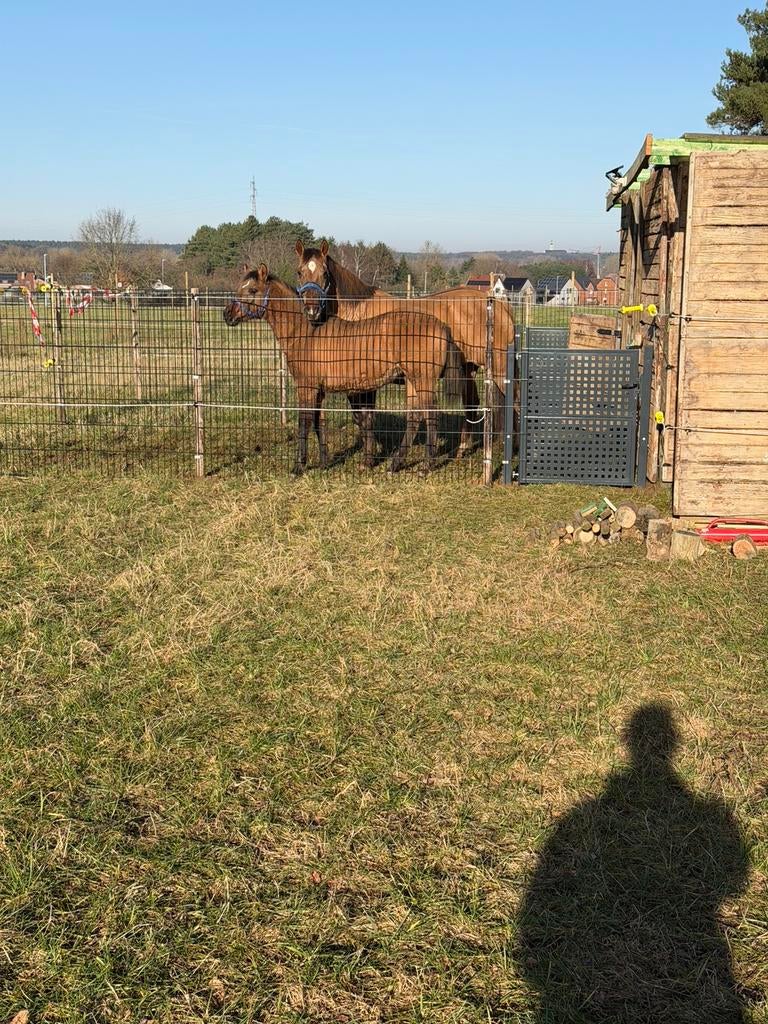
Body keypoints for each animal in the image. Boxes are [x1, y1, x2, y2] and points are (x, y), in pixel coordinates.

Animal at [223, 264, 463, 474]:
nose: (227, 314)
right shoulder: (319, 391)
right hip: (412, 381)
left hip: (423, 380)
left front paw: (298, 466)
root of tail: (442, 326)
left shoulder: (306, 387)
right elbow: (318, 422)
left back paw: (426, 466)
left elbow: (304, 423)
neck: (306, 333)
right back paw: (395, 465)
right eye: (239, 287)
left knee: (430, 416)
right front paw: (324, 463)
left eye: (252, 290)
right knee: (415, 417)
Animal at [295, 239, 514, 447]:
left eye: (324, 273)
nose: (312, 310)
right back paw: (462, 447)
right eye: (299, 272)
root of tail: (499, 304)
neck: (358, 313)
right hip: (469, 369)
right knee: (472, 403)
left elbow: (365, 419)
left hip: (499, 368)